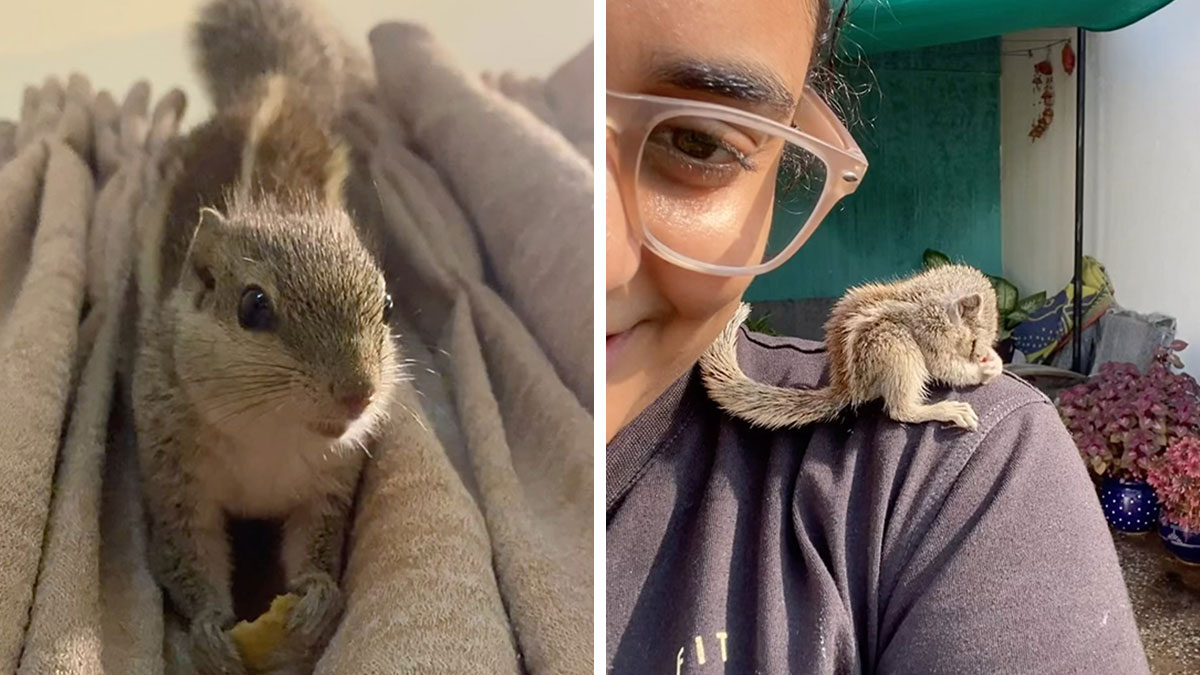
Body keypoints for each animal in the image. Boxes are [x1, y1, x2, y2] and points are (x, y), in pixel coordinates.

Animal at [132, 1, 394, 673]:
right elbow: (185, 551)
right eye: (254, 307)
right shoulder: (175, 474)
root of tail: (273, 87)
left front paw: (318, 601)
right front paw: (207, 629)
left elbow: (317, 546)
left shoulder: (328, 484)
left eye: (386, 306)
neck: (268, 432)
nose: (358, 394)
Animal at [699, 264, 1004, 432]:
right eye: (973, 341)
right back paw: (947, 410)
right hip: (896, 347)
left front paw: (995, 360)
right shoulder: (932, 336)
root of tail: (849, 388)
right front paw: (985, 369)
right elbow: (947, 369)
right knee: (900, 410)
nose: (980, 354)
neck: (934, 300)